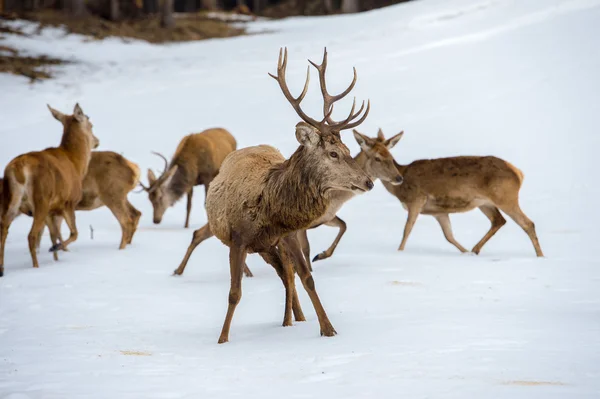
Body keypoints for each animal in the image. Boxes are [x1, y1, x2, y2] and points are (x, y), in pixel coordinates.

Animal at [0, 104, 98, 278]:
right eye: (91, 124)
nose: (97, 141)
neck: (76, 164)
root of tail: (18, 169)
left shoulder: (52, 212)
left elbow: (54, 235)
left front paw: (56, 258)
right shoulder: (68, 202)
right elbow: (73, 233)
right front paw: (56, 248)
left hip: (11, 200)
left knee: (3, 229)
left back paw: (2, 269)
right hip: (41, 199)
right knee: (31, 235)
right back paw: (35, 267)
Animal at [308, 129, 548, 260]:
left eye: (390, 156)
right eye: (377, 157)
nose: (398, 178)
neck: (400, 190)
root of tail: (519, 173)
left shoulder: (417, 198)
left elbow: (406, 230)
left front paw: (399, 253)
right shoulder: (437, 212)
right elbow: (449, 236)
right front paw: (465, 253)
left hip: (506, 196)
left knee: (527, 223)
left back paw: (540, 256)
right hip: (485, 202)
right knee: (499, 220)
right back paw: (475, 250)